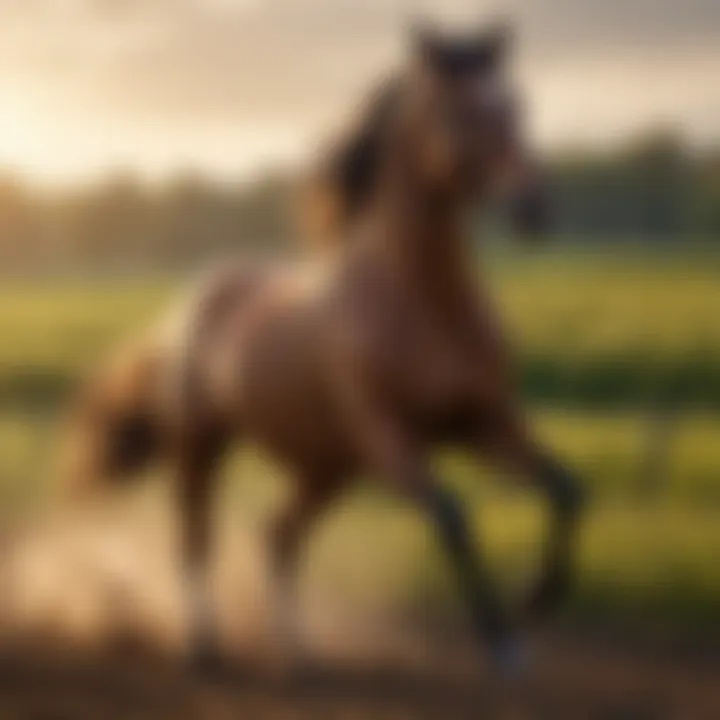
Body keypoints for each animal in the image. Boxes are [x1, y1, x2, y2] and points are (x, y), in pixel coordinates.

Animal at [62, 22, 584, 676]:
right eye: (460, 109)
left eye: (517, 105)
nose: (534, 208)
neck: (424, 305)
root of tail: (189, 307)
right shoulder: (389, 438)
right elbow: (453, 515)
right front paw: (503, 640)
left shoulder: (486, 423)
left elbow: (568, 489)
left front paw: (535, 599)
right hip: (203, 446)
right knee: (196, 534)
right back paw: (203, 646)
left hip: (327, 467)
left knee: (277, 535)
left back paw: (297, 650)